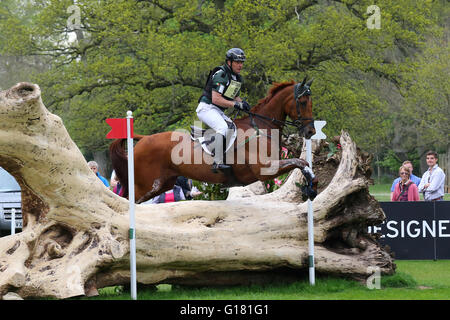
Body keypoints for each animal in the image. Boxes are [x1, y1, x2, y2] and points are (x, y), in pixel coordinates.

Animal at [111, 77, 318, 202]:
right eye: (302, 102)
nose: (310, 131)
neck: (261, 126)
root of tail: (144, 138)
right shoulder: (265, 169)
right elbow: (299, 161)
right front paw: (309, 186)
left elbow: (304, 163)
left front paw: (312, 188)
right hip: (146, 186)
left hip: (162, 184)